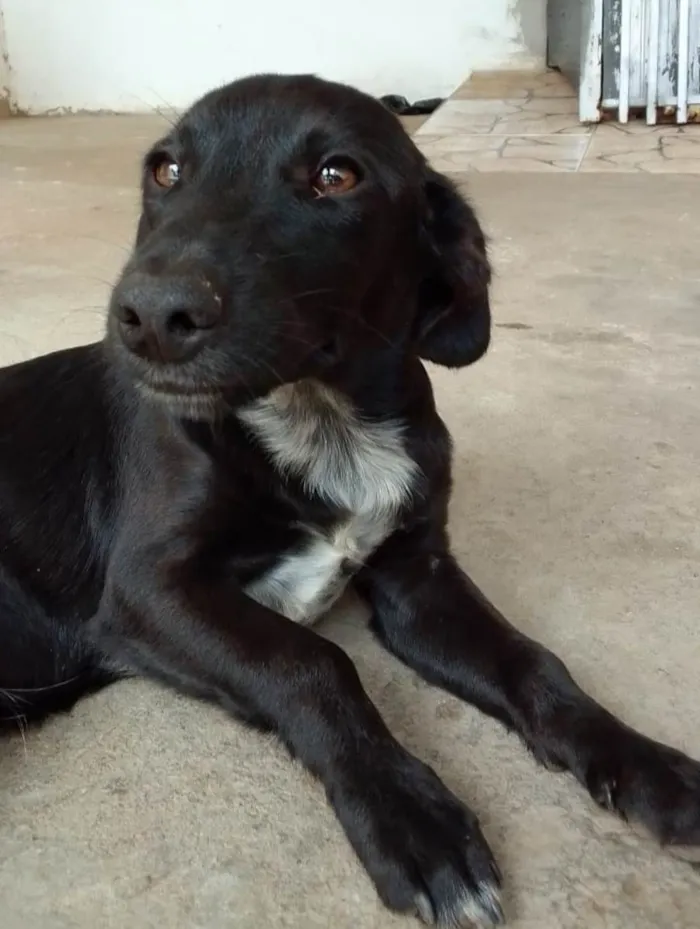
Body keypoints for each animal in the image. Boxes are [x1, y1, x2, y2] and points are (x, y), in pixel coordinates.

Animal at [0, 74, 696, 928]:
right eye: (166, 170)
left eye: (337, 175)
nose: (151, 316)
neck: (320, 418)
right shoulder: (146, 589)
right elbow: (312, 662)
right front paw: (414, 819)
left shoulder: (417, 578)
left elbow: (536, 662)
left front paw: (647, 765)